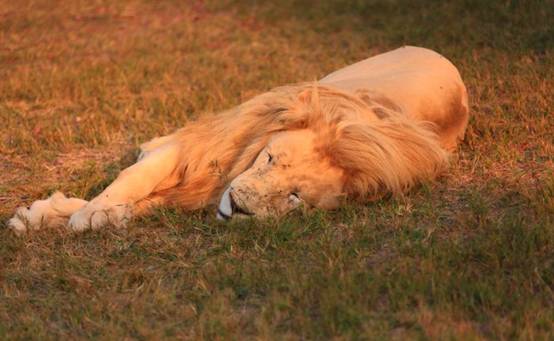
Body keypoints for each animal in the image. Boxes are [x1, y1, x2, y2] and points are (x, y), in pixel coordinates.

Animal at [7, 45, 466, 234]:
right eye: (270, 159)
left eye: (294, 197)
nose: (241, 208)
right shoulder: (197, 147)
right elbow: (133, 180)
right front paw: (77, 214)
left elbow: (144, 203)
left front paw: (63, 215)